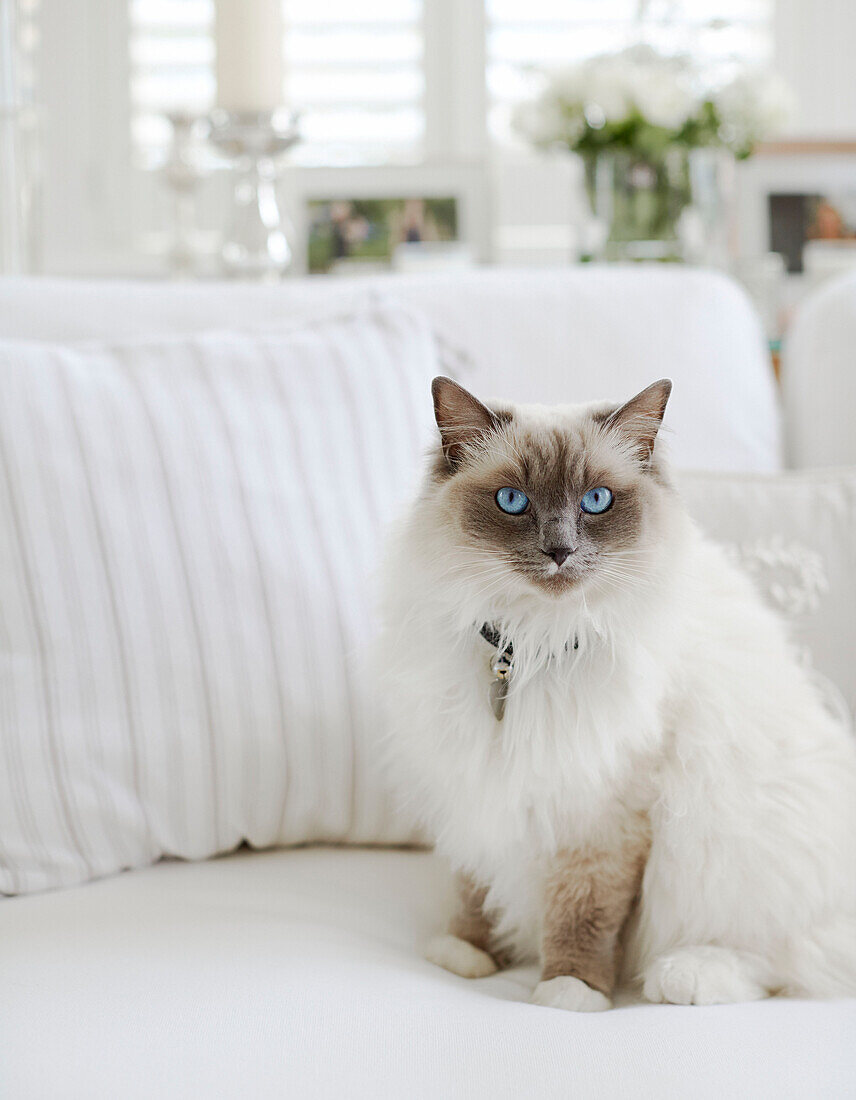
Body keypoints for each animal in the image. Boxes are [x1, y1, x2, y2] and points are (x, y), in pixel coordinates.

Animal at [376, 374, 853, 1007]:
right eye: (512, 501)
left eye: (596, 501)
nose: (559, 551)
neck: (532, 647)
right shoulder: (475, 782)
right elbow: (475, 887)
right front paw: (467, 952)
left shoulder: (602, 809)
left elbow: (583, 911)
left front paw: (571, 990)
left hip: (730, 839)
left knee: (783, 957)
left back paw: (686, 976)